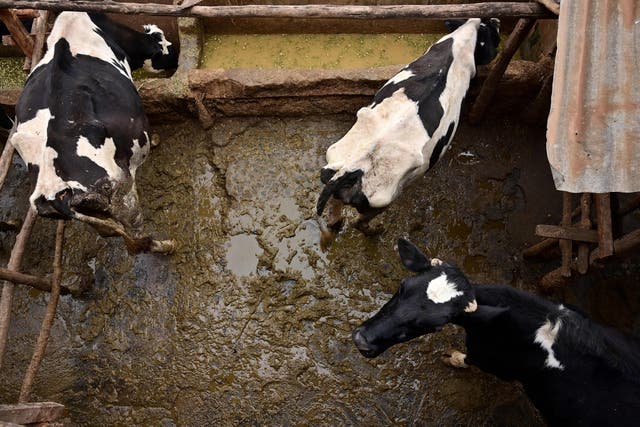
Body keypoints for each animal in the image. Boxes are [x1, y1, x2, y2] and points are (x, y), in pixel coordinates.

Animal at [8, 12, 178, 254]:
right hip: (121, 191)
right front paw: (154, 140)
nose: (176, 55)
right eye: (161, 41)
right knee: (136, 235)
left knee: (108, 231)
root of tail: (54, 190)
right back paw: (166, 245)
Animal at [316, 18, 500, 248]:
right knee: (359, 222)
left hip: (334, 164)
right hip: (383, 199)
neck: (462, 40)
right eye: (494, 33)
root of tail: (352, 169)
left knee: (335, 212)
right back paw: (378, 230)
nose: (498, 20)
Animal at [352, 239, 640, 427]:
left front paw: (452, 358)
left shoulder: (494, 362)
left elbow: (469, 359)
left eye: (434, 325)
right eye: (403, 286)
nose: (362, 341)